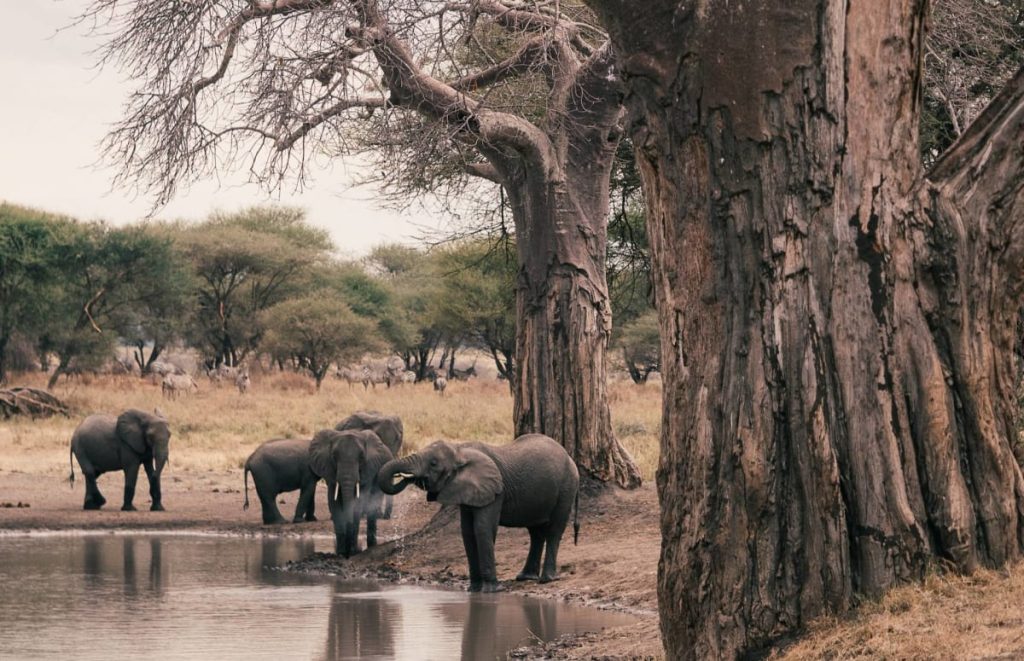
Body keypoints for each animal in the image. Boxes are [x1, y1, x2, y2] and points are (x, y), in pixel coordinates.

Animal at [307, 429, 395, 560]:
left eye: (362, 457)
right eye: (334, 456)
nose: (349, 552)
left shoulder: (367, 471)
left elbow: (358, 503)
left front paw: (353, 552)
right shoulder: (329, 471)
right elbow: (334, 503)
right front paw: (341, 553)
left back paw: (372, 546)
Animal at [378, 435, 585, 597]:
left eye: (433, 463)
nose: (406, 478)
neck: (460, 449)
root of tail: (570, 457)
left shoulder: (495, 491)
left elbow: (482, 529)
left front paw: (491, 590)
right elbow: (467, 532)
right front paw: (474, 590)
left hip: (567, 486)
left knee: (554, 530)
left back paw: (547, 579)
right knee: (536, 533)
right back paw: (525, 577)